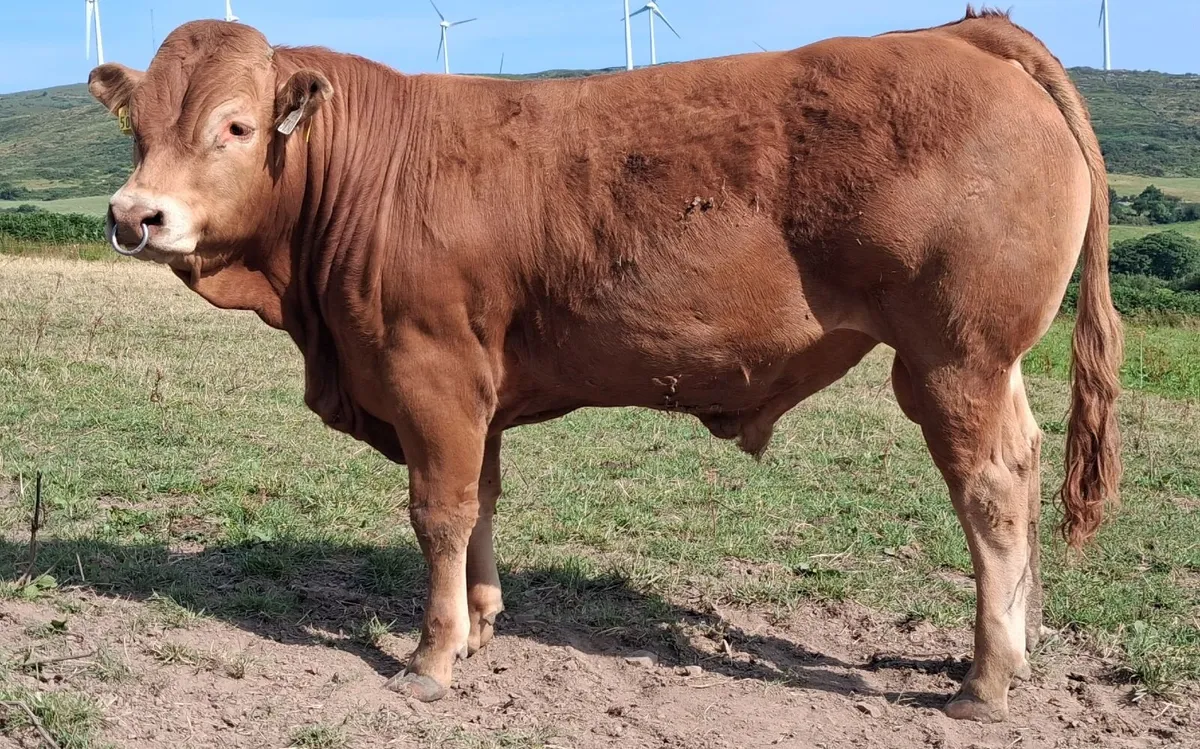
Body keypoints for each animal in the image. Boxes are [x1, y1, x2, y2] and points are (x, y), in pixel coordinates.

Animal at [87, 8, 1122, 722]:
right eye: (137, 127)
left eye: (233, 125)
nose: (134, 215)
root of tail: (968, 31)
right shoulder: (479, 387)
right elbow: (484, 501)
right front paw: (485, 620)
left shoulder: (431, 371)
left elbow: (439, 511)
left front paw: (432, 657)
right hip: (992, 361)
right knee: (1027, 465)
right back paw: (1019, 638)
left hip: (953, 355)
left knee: (990, 489)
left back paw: (986, 677)